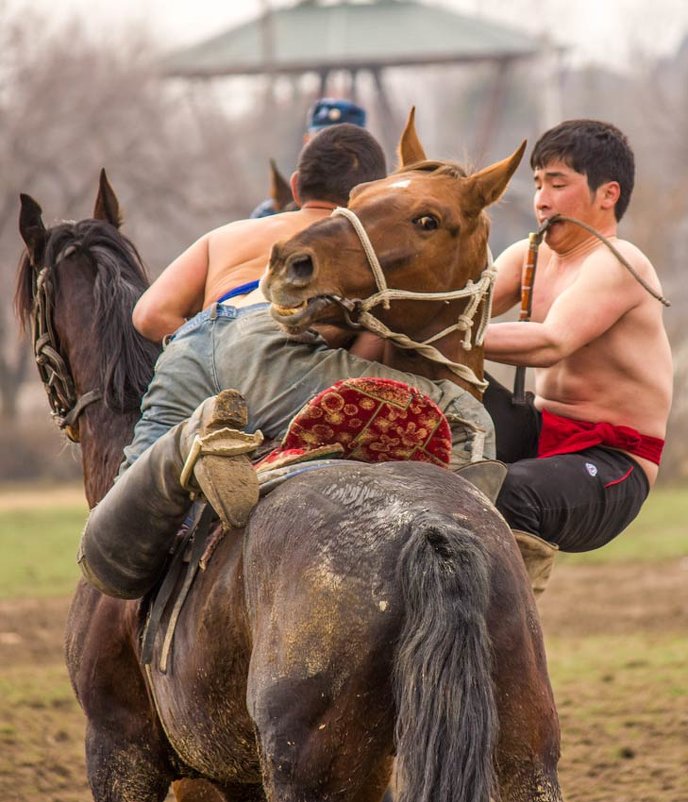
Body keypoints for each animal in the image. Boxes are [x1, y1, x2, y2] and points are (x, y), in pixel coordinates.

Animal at [18, 138, 560, 800]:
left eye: (428, 219)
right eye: (362, 196)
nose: (290, 262)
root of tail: (432, 535)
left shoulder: (122, 752)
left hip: (308, 770)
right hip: (524, 758)